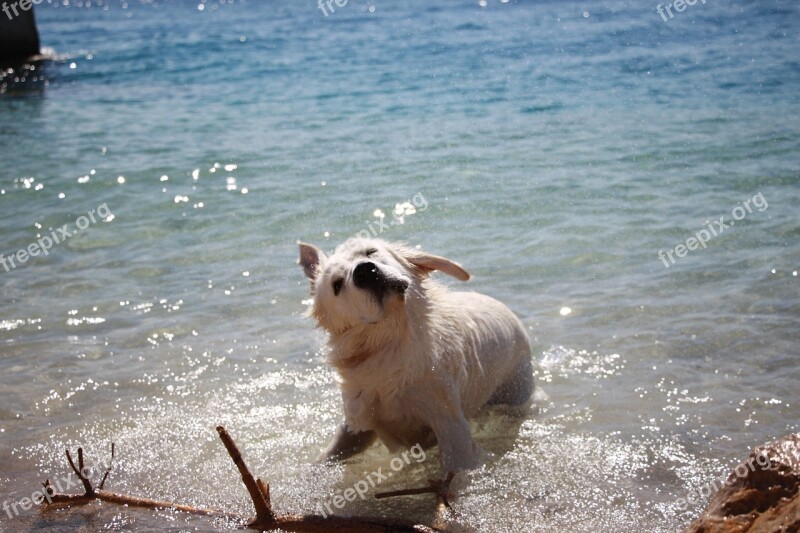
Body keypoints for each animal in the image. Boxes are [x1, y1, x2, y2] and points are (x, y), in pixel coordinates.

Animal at [296, 239, 536, 472]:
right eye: (337, 285)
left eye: (370, 251)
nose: (364, 271)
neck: (393, 346)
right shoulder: (359, 416)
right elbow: (332, 454)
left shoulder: (450, 424)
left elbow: (457, 467)